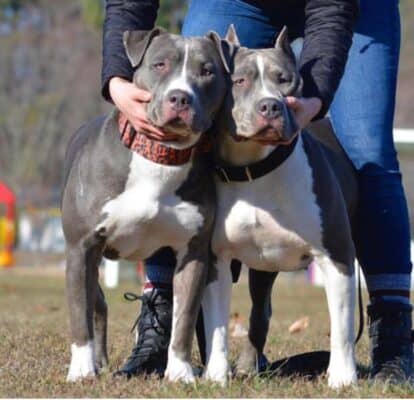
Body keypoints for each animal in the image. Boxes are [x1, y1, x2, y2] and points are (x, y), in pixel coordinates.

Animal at [61, 26, 228, 382]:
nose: (180, 97)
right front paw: (81, 370)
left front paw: (180, 372)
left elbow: (184, 317)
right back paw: (96, 362)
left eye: (207, 71)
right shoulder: (81, 248)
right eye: (160, 64)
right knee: (95, 305)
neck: (160, 157)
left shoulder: (194, 253)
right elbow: (79, 315)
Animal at [200, 26, 356, 390]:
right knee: (260, 314)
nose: (270, 105)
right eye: (239, 81)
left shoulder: (336, 255)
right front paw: (216, 374)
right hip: (262, 269)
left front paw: (343, 377)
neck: (254, 168)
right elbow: (217, 325)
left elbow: (341, 324)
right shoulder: (217, 260)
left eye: (284, 79)